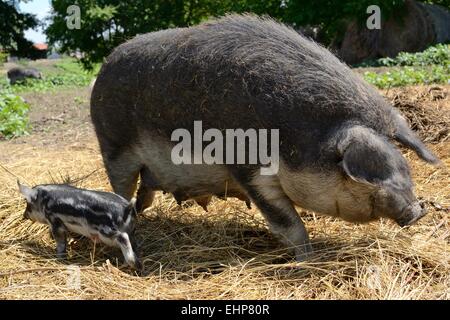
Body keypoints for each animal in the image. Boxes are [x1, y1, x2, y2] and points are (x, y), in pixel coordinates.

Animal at [90, 13, 440, 262]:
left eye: (402, 165)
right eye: (360, 175)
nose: (417, 211)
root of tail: (105, 66)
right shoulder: (249, 171)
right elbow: (288, 224)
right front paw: (307, 260)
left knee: (144, 195)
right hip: (113, 148)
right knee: (121, 189)